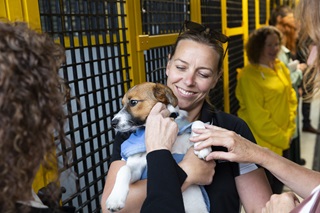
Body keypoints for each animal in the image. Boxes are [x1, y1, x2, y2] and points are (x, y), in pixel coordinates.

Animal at [106, 82, 211, 213]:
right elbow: (124, 169)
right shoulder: (138, 168)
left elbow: (197, 123)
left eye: (133, 102)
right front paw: (115, 198)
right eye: (122, 103)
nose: (112, 123)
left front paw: (202, 147)